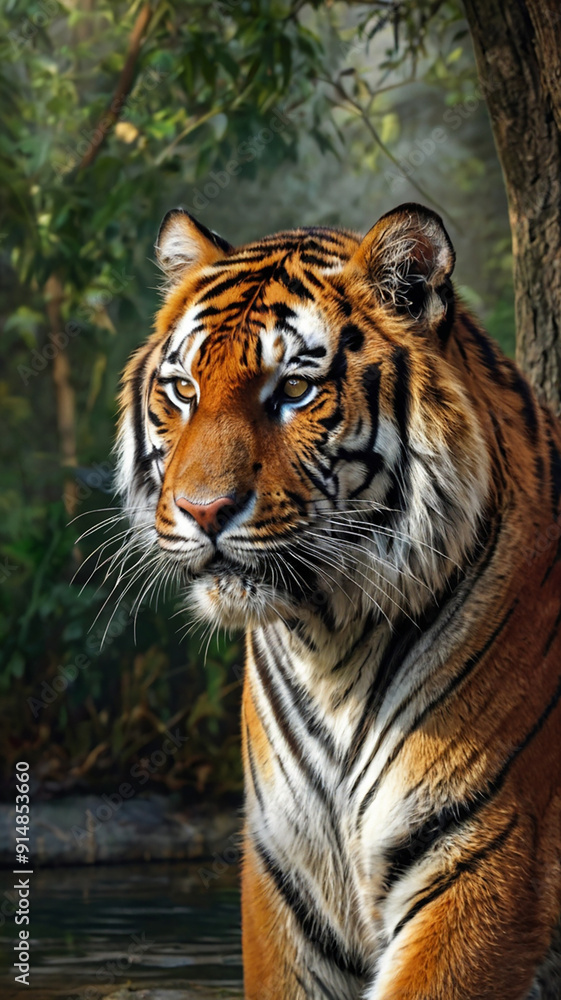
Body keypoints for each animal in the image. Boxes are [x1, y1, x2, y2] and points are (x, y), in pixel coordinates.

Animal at [116, 202, 561, 1000]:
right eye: (184, 391)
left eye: (294, 392)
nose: (202, 511)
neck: (327, 642)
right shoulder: (288, 886)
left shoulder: (484, 859)